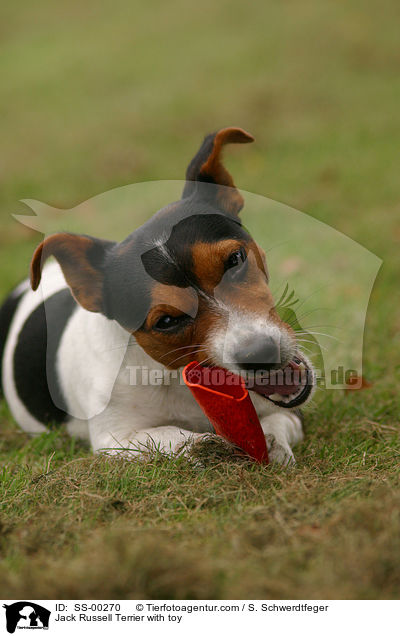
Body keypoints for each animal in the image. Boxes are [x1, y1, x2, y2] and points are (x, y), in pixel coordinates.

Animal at [0, 129, 312, 464]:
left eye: (235, 260)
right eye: (166, 321)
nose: (260, 354)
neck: (174, 376)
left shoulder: (291, 414)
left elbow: (276, 424)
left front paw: (272, 443)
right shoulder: (116, 438)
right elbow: (169, 436)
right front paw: (205, 445)